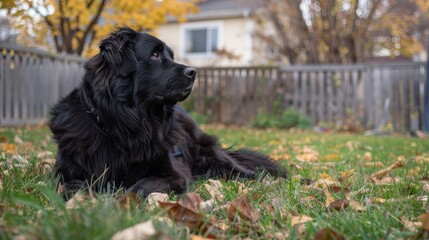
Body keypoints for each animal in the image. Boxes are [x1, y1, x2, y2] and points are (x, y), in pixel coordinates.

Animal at [47, 27, 288, 198]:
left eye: (171, 56)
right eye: (154, 54)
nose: (194, 72)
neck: (123, 128)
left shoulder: (174, 174)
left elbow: (139, 186)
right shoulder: (63, 173)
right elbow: (72, 185)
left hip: (207, 148)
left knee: (242, 169)